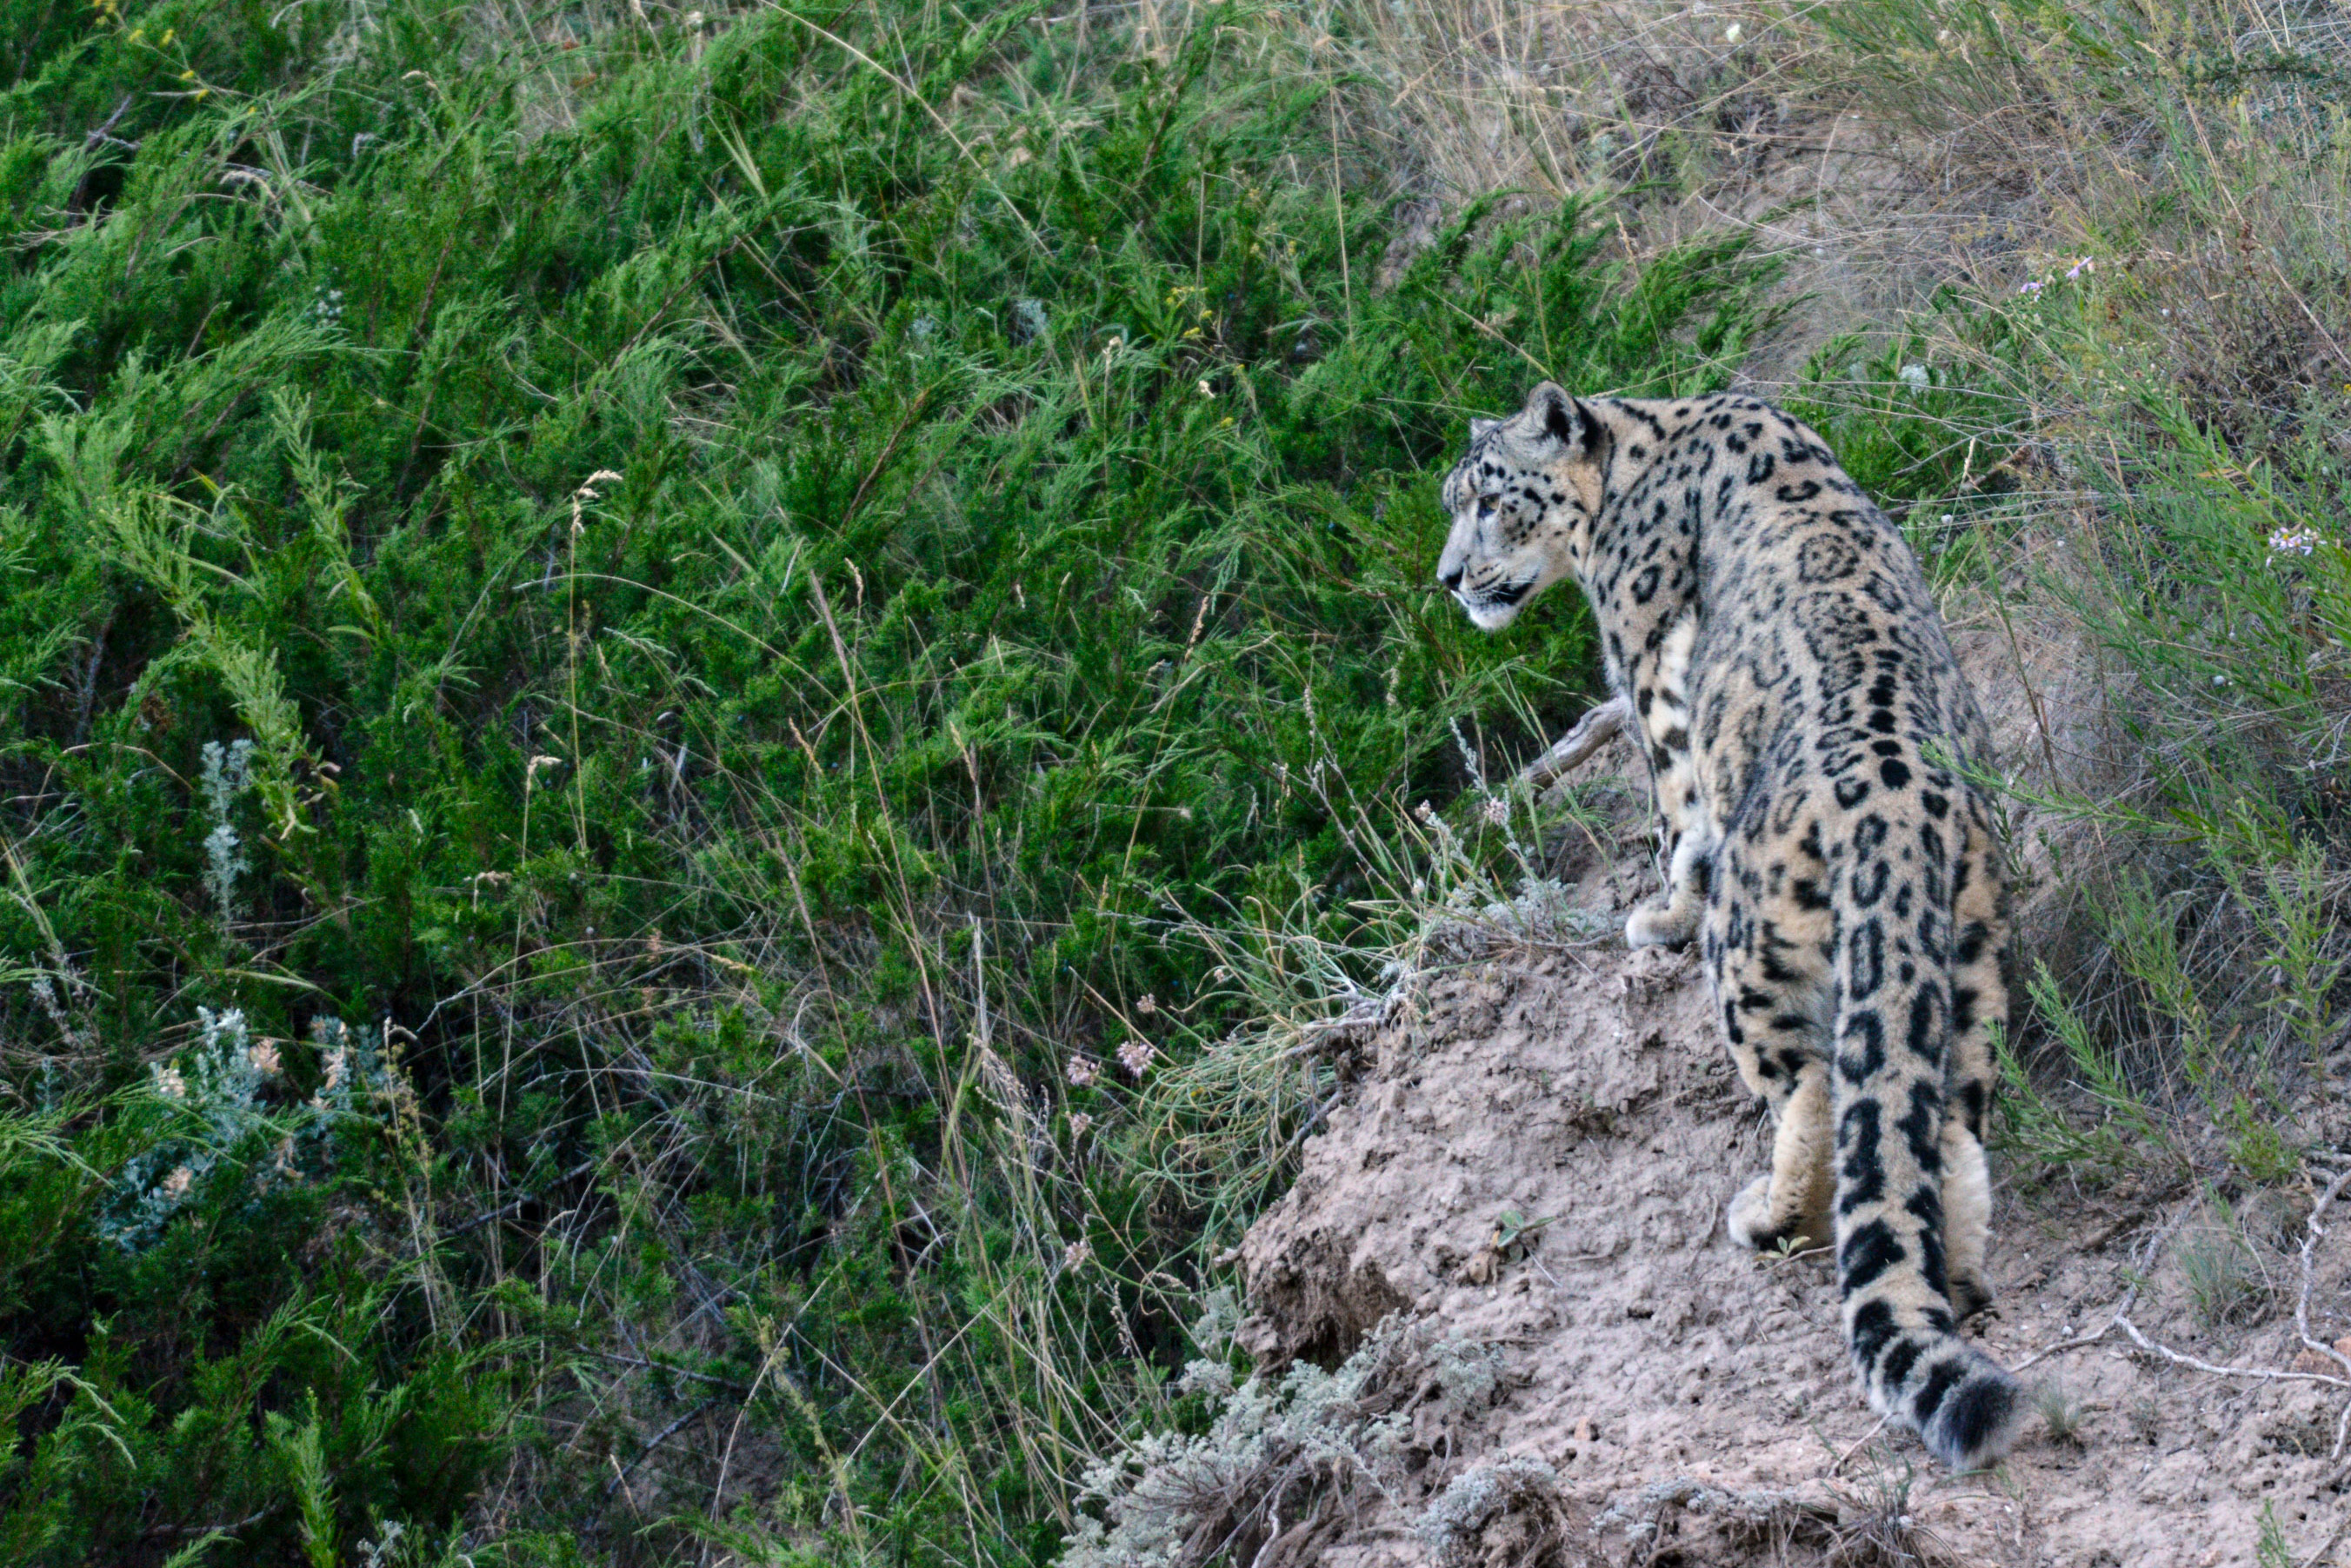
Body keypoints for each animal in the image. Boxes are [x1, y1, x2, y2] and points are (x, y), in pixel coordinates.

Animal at [1435, 382, 2021, 1470]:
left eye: (1488, 502)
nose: (1451, 579)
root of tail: (1896, 807)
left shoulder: (1640, 654)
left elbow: (1672, 803)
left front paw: (1657, 909)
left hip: (1752, 952)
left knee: (1811, 1086)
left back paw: (1764, 1216)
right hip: (1967, 963)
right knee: (1946, 1126)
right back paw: (1956, 1281)